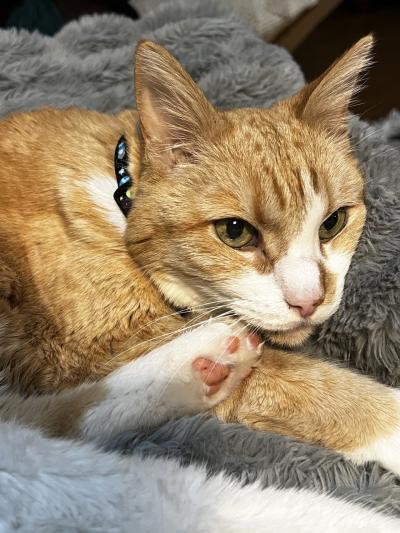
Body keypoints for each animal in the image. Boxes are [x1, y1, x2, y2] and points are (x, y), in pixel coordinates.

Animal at [0, 33, 398, 524]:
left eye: (332, 224)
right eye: (235, 232)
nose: (309, 300)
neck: (118, 194)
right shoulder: (89, 351)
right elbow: (313, 385)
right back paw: (198, 358)